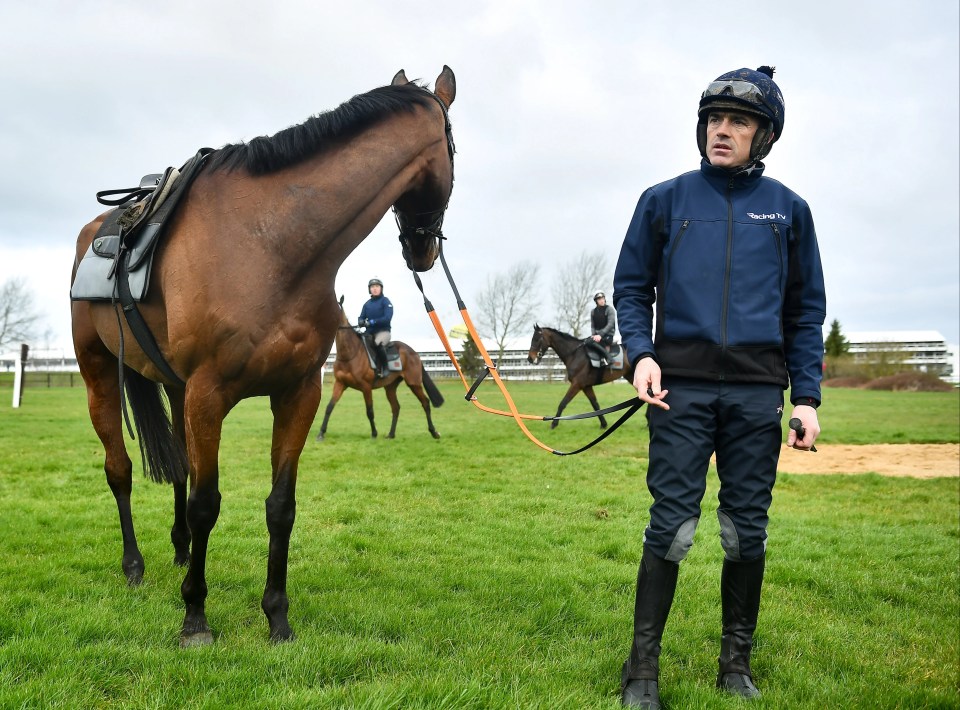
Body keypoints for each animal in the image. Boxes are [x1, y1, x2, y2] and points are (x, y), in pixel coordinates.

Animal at [318, 304, 446, 442]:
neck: (350, 354)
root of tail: (413, 352)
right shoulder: (340, 384)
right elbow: (329, 407)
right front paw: (321, 433)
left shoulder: (366, 387)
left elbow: (369, 411)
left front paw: (374, 433)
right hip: (390, 387)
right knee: (396, 407)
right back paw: (391, 434)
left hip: (414, 383)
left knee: (425, 403)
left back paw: (434, 432)